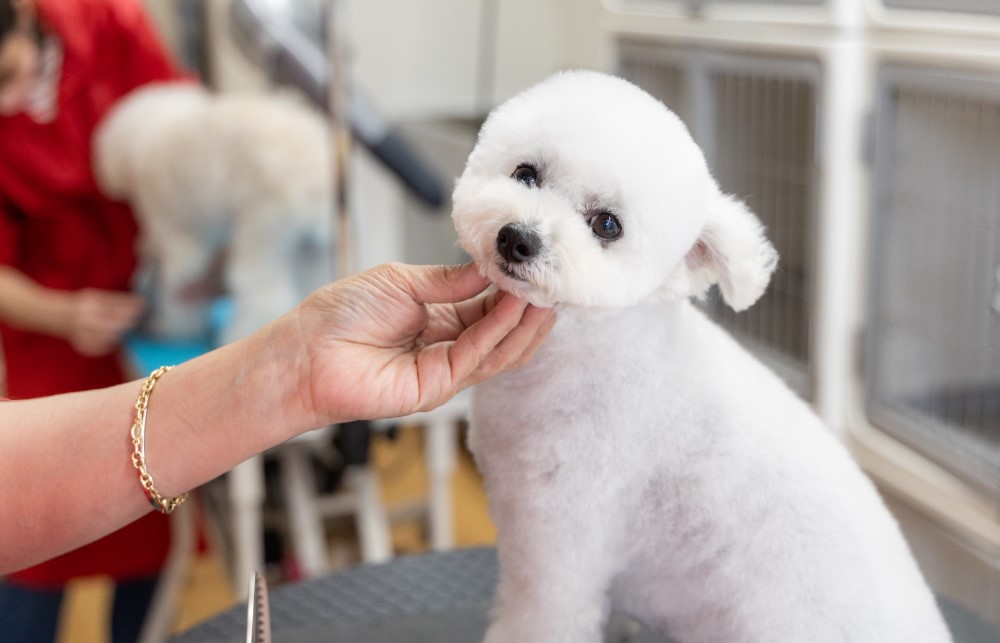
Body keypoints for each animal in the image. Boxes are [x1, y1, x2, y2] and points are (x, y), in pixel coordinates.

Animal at [92, 82, 332, 344]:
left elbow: (178, 283)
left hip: (263, 227)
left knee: (262, 295)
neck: (144, 138)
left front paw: (174, 328)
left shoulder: (176, 233)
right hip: (312, 250)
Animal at [450, 69, 948, 643]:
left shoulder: (561, 537)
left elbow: (541, 615)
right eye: (526, 174)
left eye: (606, 226)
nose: (518, 239)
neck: (590, 349)